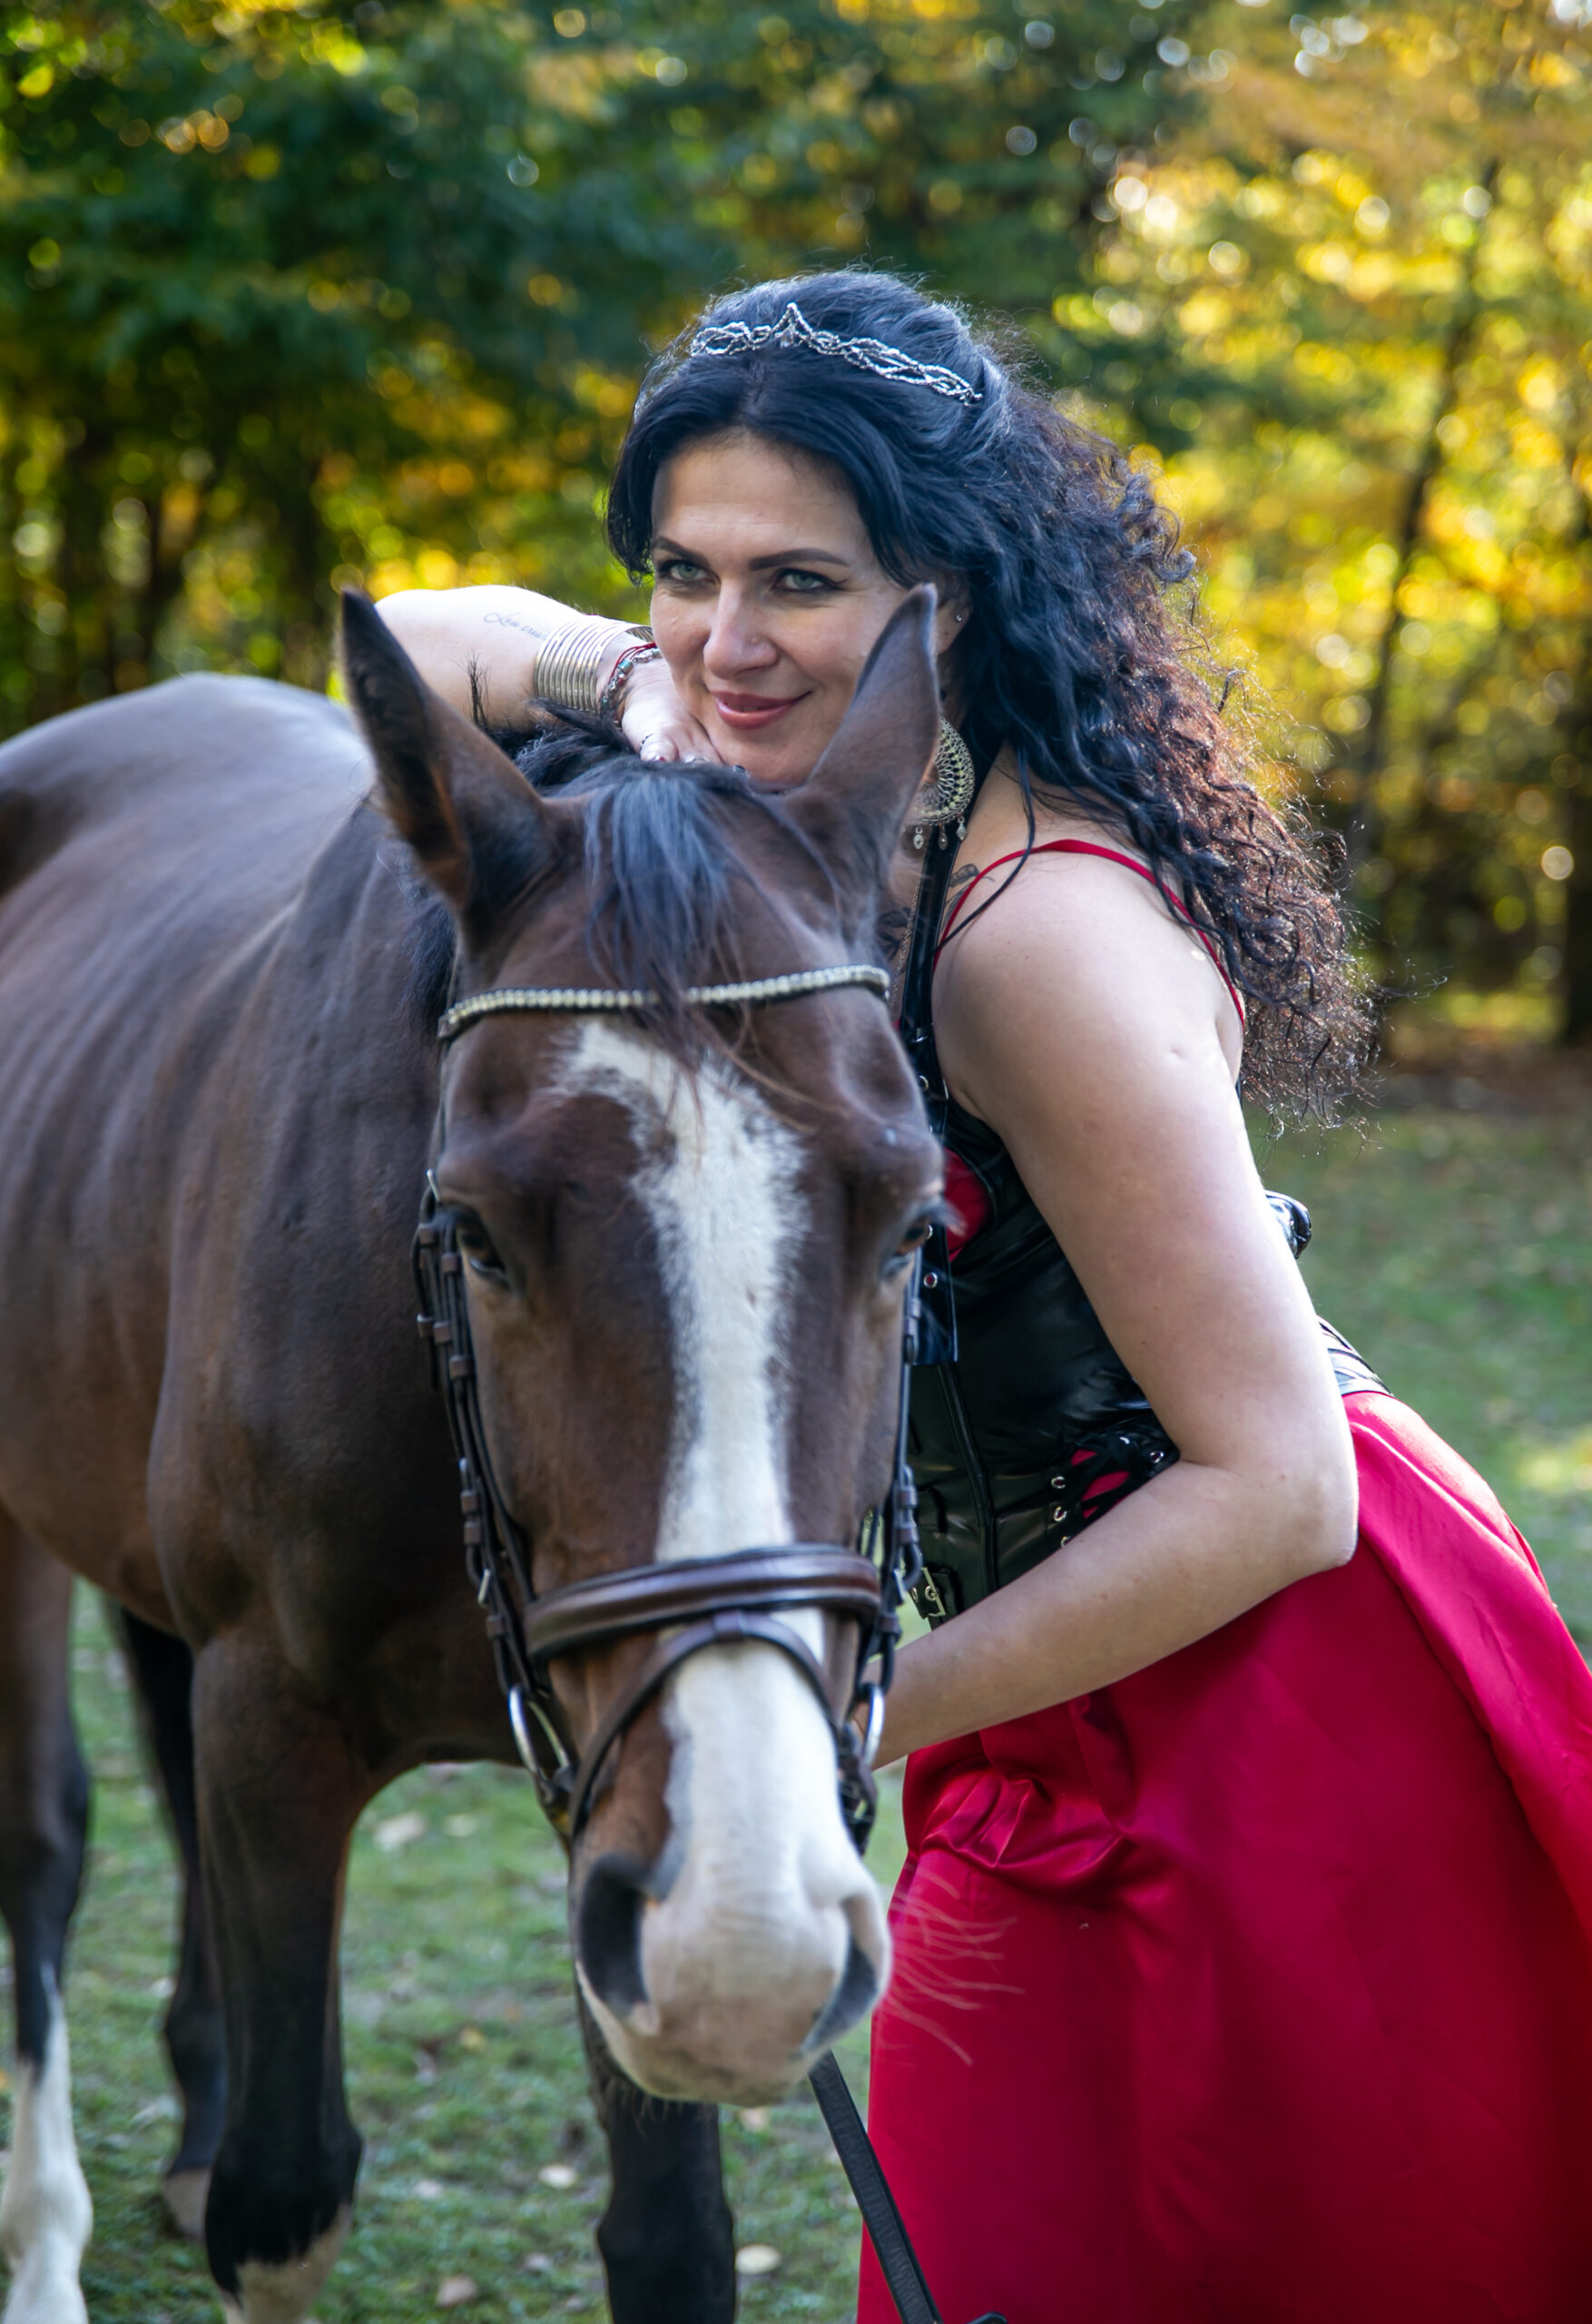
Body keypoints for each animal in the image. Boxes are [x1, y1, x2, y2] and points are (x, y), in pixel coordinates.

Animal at [0, 587, 943, 2323]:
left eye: (914, 1222)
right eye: (480, 1234)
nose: (750, 1942)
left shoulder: (619, 1787)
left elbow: (670, 2236)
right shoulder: (275, 1719)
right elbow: (286, 2198)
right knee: (42, 1843)